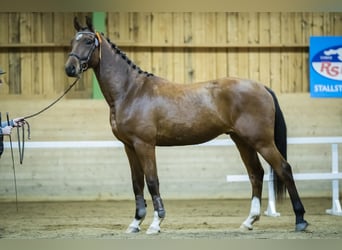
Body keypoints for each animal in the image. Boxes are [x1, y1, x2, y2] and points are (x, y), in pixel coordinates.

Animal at [65, 16, 310, 233]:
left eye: (89, 41)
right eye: (72, 41)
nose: (70, 68)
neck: (130, 91)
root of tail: (262, 87)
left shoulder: (145, 145)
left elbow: (152, 181)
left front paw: (155, 224)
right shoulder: (129, 147)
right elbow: (137, 183)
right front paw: (135, 223)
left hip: (262, 141)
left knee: (283, 169)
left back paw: (300, 220)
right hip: (242, 140)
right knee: (256, 173)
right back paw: (249, 221)